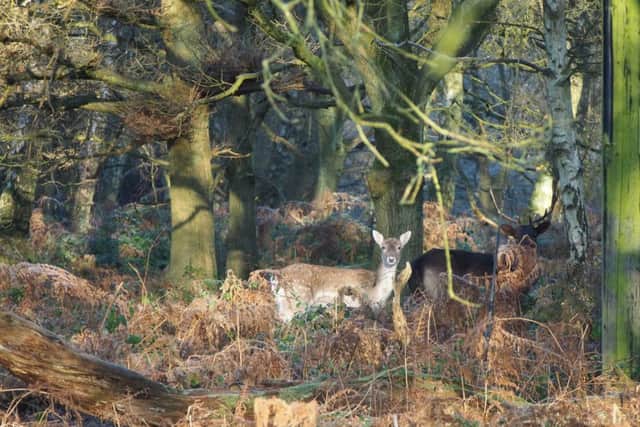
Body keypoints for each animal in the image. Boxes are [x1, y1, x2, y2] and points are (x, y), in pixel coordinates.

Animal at [255, 230, 412, 322]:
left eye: (399, 247)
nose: (391, 259)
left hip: (281, 301)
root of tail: (280, 273)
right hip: (298, 300)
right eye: (383, 247)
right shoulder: (364, 304)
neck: (377, 291)